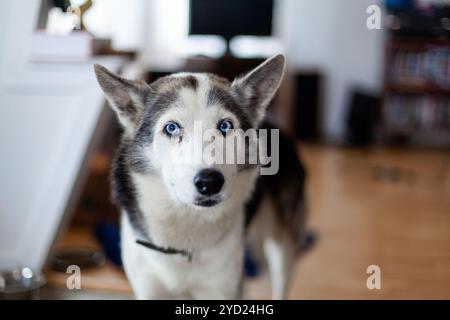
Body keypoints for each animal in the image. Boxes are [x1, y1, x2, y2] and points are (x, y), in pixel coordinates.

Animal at [93, 55, 308, 300]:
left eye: (225, 126)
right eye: (171, 128)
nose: (209, 182)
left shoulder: (223, 289)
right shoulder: (149, 290)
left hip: (281, 250)